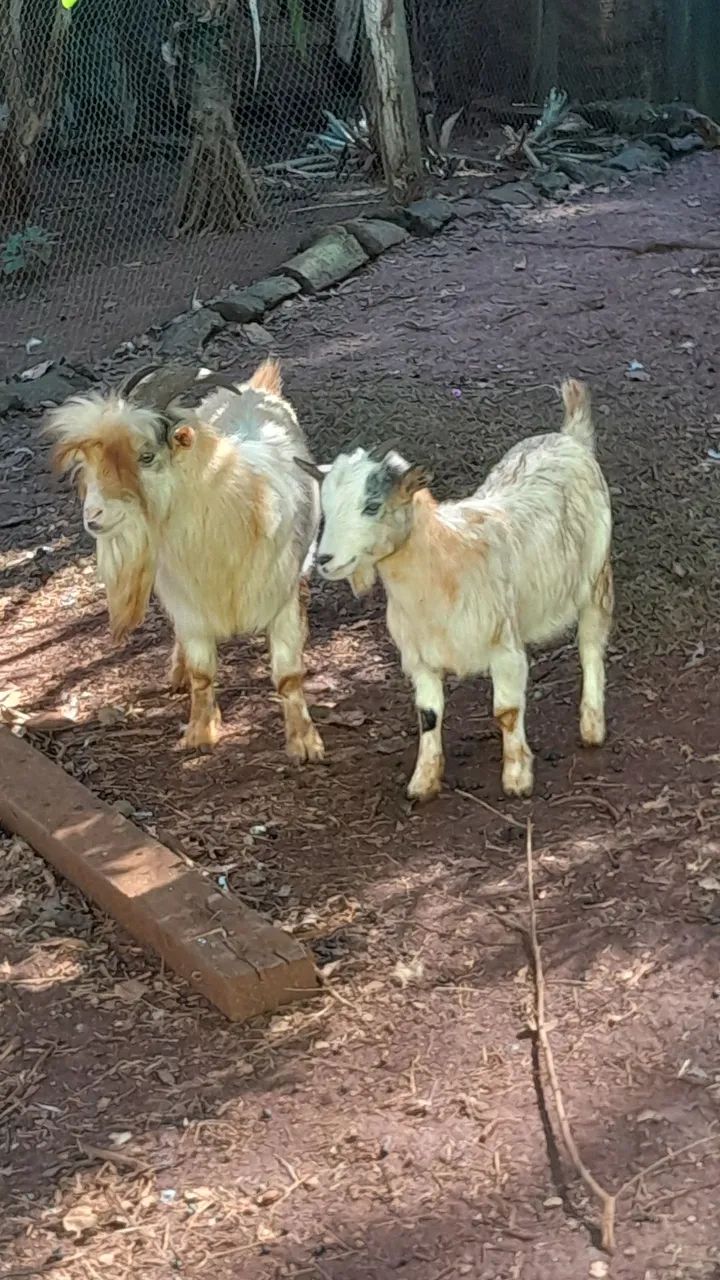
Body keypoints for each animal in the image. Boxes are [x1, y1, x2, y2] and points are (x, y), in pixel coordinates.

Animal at [47, 359, 325, 762]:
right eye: (91, 463)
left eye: (146, 456)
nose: (93, 516)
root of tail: (255, 389)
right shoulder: (190, 605)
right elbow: (201, 673)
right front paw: (200, 733)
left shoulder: (282, 599)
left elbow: (288, 675)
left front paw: (305, 743)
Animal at [296, 379, 612, 800]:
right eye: (326, 509)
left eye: (372, 505)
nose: (325, 559)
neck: (446, 560)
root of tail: (569, 437)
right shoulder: (418, 658)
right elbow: (428, 716)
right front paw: (423, 782)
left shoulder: (503, 646)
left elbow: (506, 712)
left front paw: (517, 778)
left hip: (597, 576)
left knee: (591, 645)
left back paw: (592, 728)